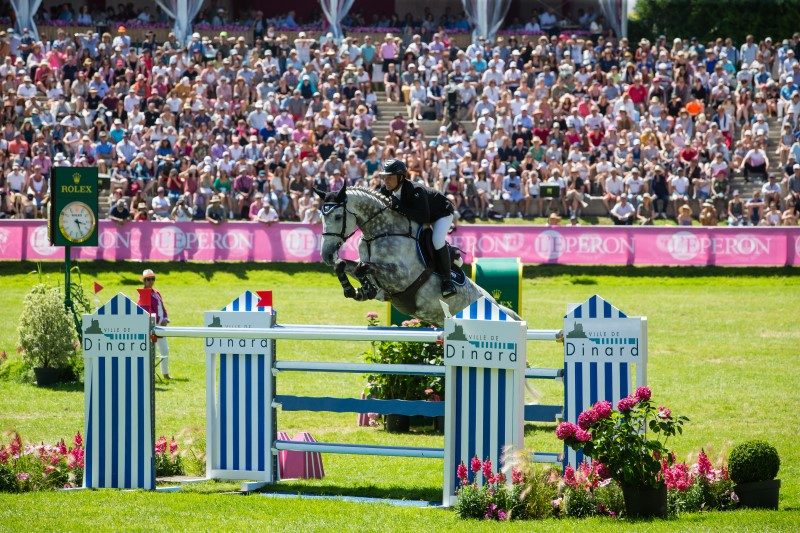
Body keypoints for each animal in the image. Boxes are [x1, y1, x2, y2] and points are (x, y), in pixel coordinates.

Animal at [316, 182, 520, 324]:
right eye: (322, 216)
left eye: (338, 216)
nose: (326, 254)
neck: (380, 232)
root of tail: (497, 305)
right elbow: (344, 265)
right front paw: (356, 290)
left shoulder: (400, 276)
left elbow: (363, 267)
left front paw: (364, 289)